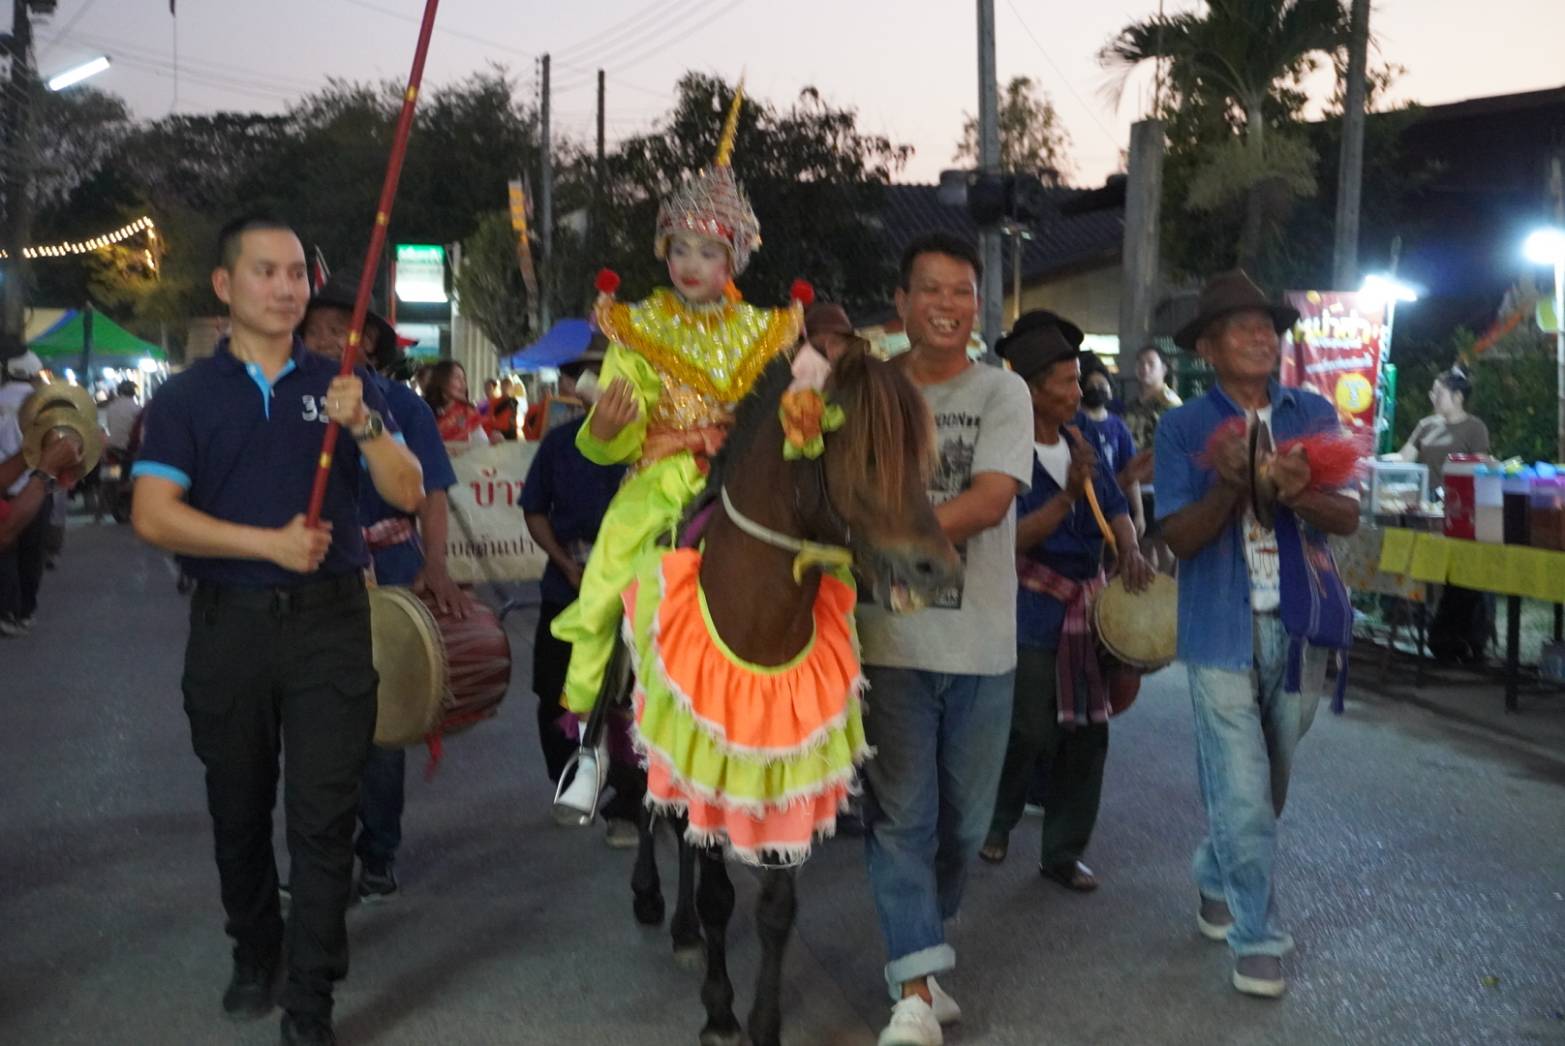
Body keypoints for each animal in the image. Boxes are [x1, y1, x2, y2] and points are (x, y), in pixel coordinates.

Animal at [616, 341, 961, 1046]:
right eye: (867, 453)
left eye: (921, 455)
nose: (937, 567)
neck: (759, 625)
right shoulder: (706, 752)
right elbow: (720, 895)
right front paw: (720, 1012)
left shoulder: (785, 761)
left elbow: (777, 908)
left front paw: (763, 1021)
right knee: (649, 805)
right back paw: (652, 897)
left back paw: (684, 929)